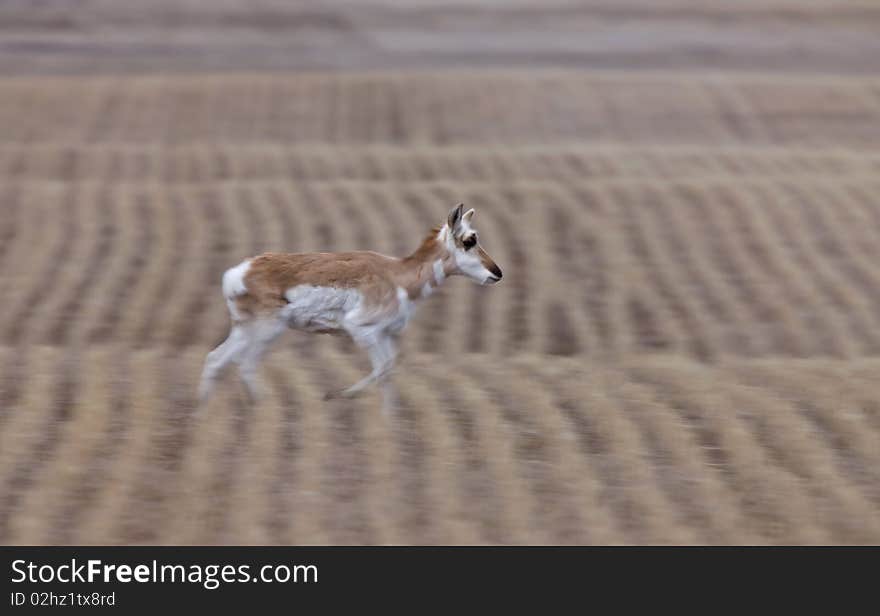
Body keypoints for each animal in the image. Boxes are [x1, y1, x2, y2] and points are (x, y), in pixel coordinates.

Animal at [199, 205, 502, 410]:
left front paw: (390, 422)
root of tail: (240, 271)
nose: (497, 273)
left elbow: (390, 369)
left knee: (216, 359)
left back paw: (203, 414)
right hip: (266, 331)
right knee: (245, 365)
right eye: (469, 240)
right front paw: (337, 395)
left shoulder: (386, 336)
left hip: (246, 330)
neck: (398, 275)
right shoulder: (363, 331)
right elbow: (382, 369)